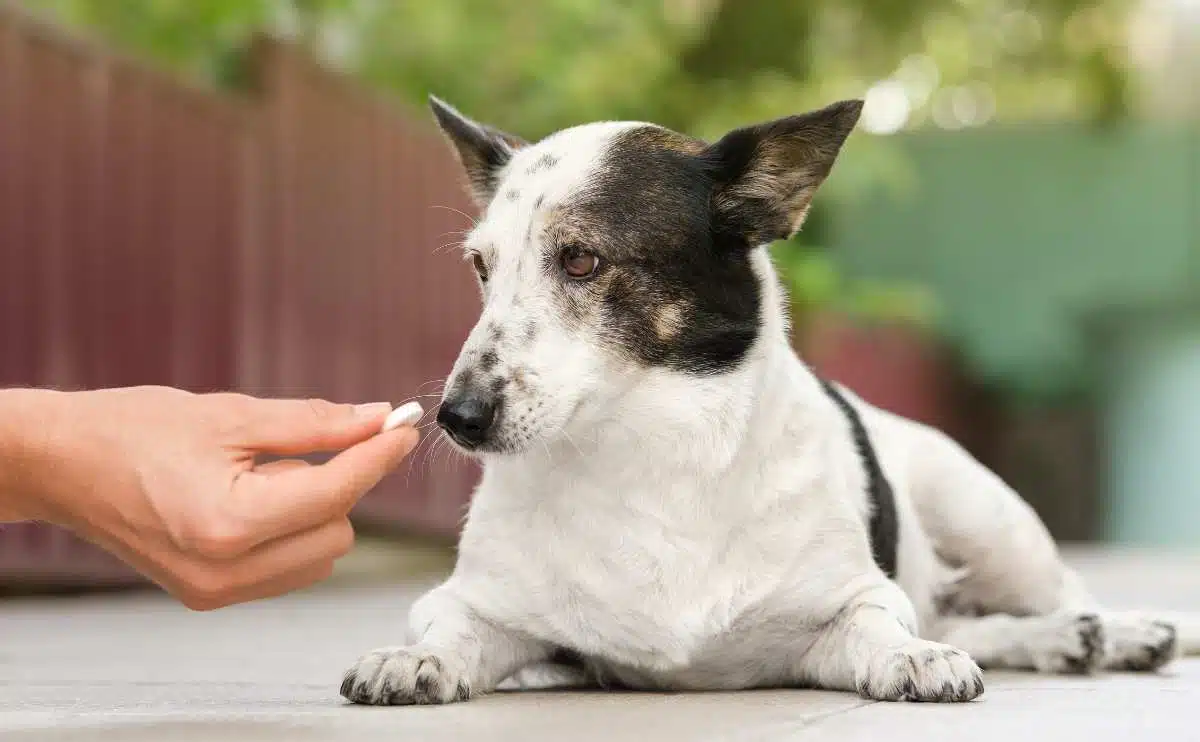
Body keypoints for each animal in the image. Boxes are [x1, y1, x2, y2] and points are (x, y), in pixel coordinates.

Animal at [340, 95, 1200, 701]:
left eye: (581, 259)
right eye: (481, 268)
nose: (457, 418)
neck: (649, 457)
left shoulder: (848, 607)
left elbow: (884, 624)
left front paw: (911, 657)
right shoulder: (485, 609)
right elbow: (448, 628)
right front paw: (414, 659)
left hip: (991, 521)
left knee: (1054, 594)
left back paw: (1126, 631)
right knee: (967, 615)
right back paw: (1063, 642)